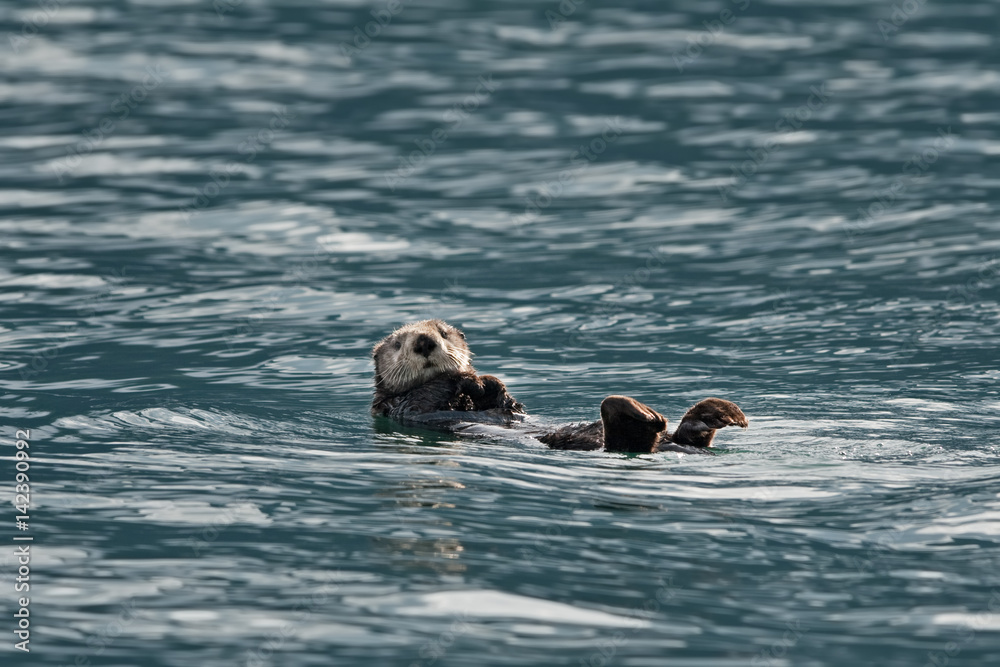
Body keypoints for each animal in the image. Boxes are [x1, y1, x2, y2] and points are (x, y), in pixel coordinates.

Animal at [371, 319, 748, 454]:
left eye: (444, 333)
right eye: (399, 343)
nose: (424, 342)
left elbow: (506, 404)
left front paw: (488, 384)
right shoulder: (399, 406)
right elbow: (425, 398)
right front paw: (465, 379)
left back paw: (722, 413)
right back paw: (640, 413)